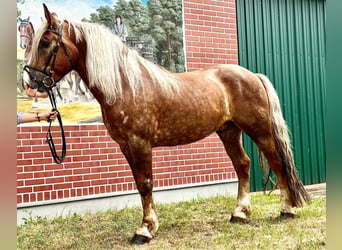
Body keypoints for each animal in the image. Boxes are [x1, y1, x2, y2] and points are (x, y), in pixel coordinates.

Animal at [25, 4, 312, 245]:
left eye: (46, 42)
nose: (30, 83)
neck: (125, 85)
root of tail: (253, 75)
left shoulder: (140, 143)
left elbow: (146, 183)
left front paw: (145, 230)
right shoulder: (125, 145)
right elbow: (140, 184)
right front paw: (148, 226)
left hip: (259, 130)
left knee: (277, 162)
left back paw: (286, 209)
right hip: (229, 131)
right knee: (243, 165)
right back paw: (240, 214)